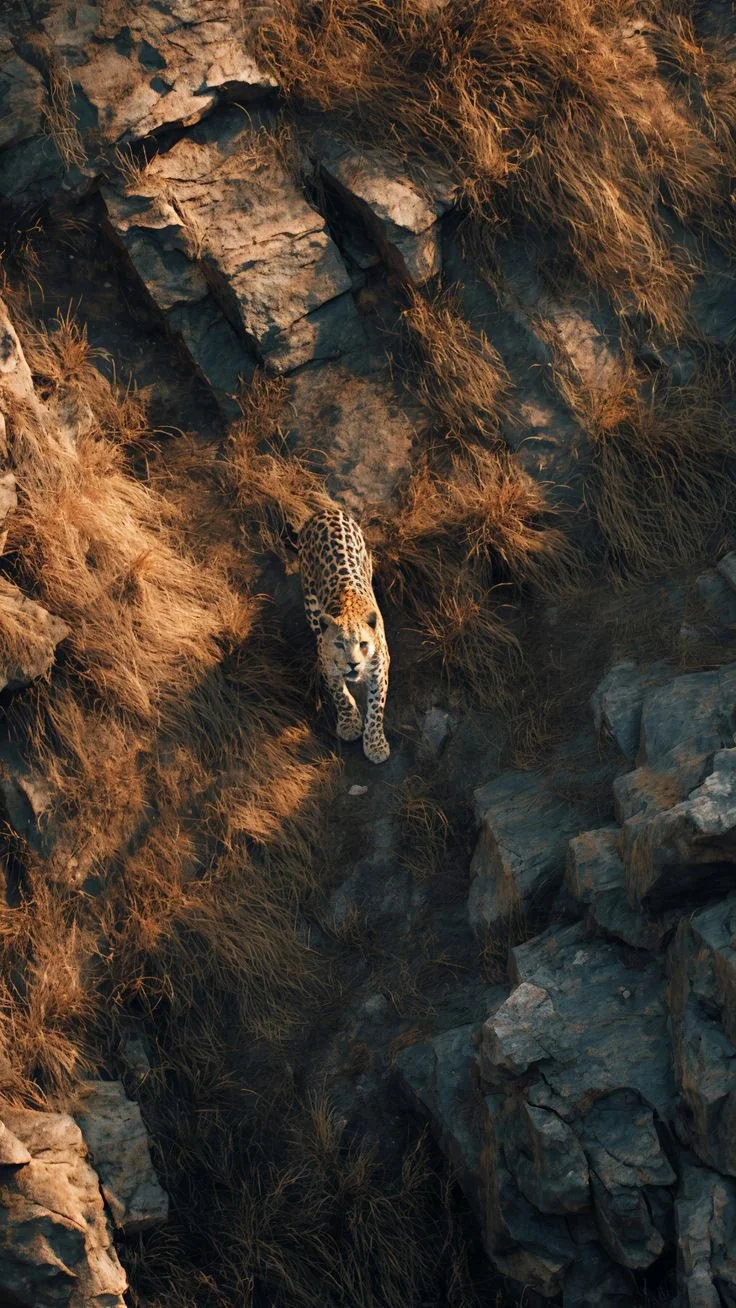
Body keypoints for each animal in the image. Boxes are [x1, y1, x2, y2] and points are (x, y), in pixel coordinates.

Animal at [298, 507, 390, 764]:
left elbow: (376, 707)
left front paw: (375, 745)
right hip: (310, 600)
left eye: (363, 644)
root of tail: (325, 510)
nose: (353, 664)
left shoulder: (380, 668)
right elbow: (340, 694)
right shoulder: (327, 663)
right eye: (339, 644)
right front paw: (350, 725)